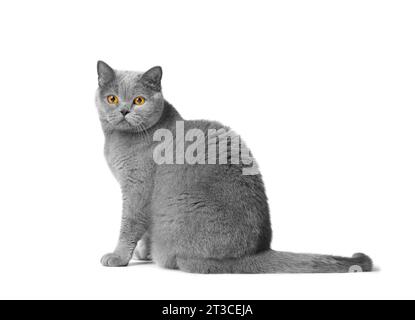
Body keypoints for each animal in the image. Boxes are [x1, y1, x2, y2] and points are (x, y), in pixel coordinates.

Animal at [95, 61, 374, 274]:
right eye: (112, 98)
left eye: (139, 100)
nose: (124, 110)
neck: (119, 140)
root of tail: (254, 251)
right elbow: (141, 229)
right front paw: (141, 252)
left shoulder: (137, 189)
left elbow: (130, 224)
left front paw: (119, 257)